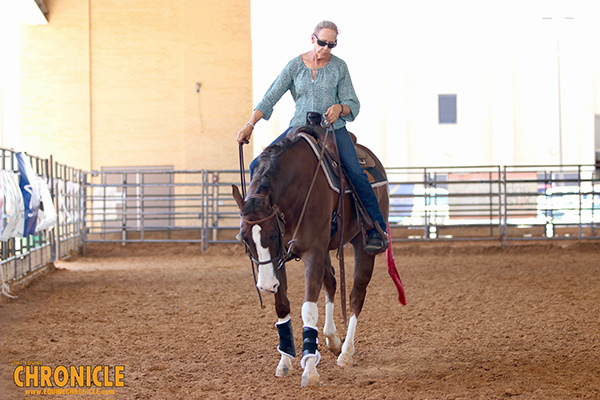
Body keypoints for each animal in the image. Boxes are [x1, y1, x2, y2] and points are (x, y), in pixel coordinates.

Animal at [232, 123, 400, 386]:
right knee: (331, 283)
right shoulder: (281, 258)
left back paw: (346, 353)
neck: (297, 190)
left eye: (272, 235)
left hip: (362, 244)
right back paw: (332, 339)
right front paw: (285, 362)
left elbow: (308, 310)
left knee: (356, 294)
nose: (266, 285)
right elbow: (282, 306)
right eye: (244, 238)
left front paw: (310, 371)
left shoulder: (312, 252)